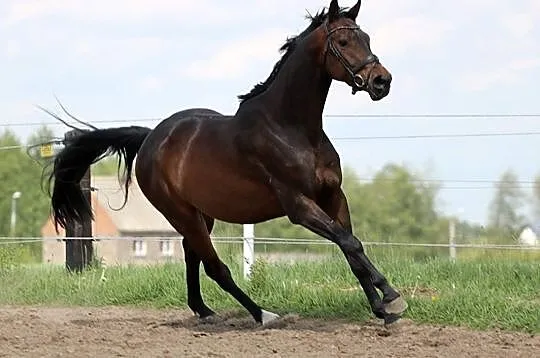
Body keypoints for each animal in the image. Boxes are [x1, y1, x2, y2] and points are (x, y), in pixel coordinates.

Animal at [46, 0, 408, 324]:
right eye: (344, 42)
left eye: (367, 39)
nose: (382, 81)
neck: (291, 128)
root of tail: (150, 139)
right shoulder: (299, 206)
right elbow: (350, 243)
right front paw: (392, 298)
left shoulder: (334, 196)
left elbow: (352, 249)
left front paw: (382, 309)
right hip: (180, 213)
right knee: (214, 266)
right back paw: (262, 314)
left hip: (200, 215)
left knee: (192, 253)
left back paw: (204, 311)